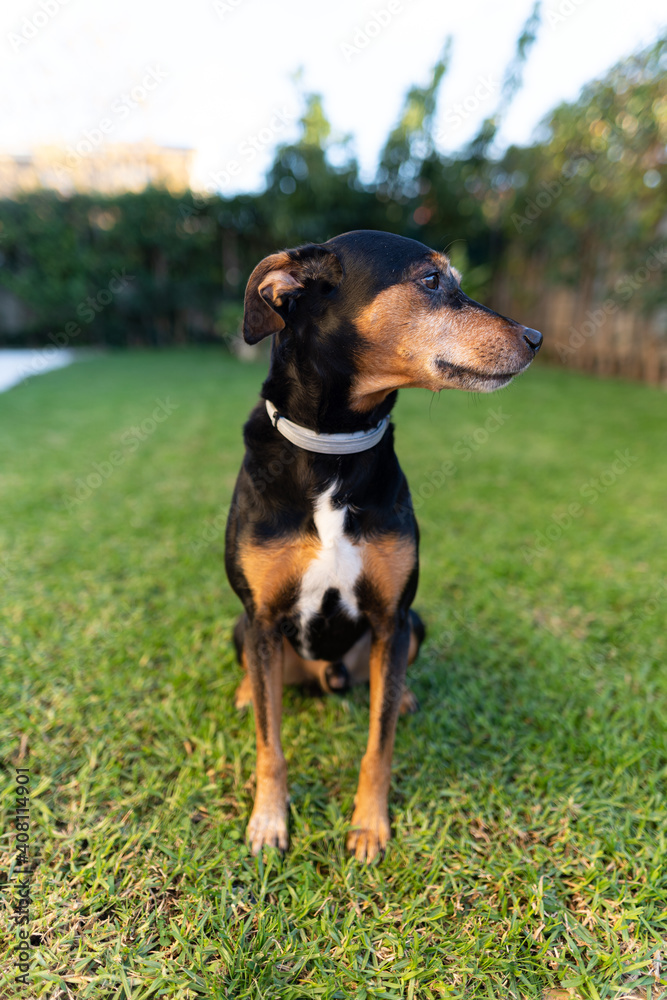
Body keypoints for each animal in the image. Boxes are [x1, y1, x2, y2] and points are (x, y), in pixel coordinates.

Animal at [224, 229, 544, 860]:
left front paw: (369, 826)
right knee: (260, 682)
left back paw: (404, 697)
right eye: (431, 280)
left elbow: (379, 743)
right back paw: (250, 692)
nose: (536, 338)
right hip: (242, 630)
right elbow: (271, 745)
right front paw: (269, 822)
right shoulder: (264, 619)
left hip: (412, 625)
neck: (334, 450)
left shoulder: (393, 616)